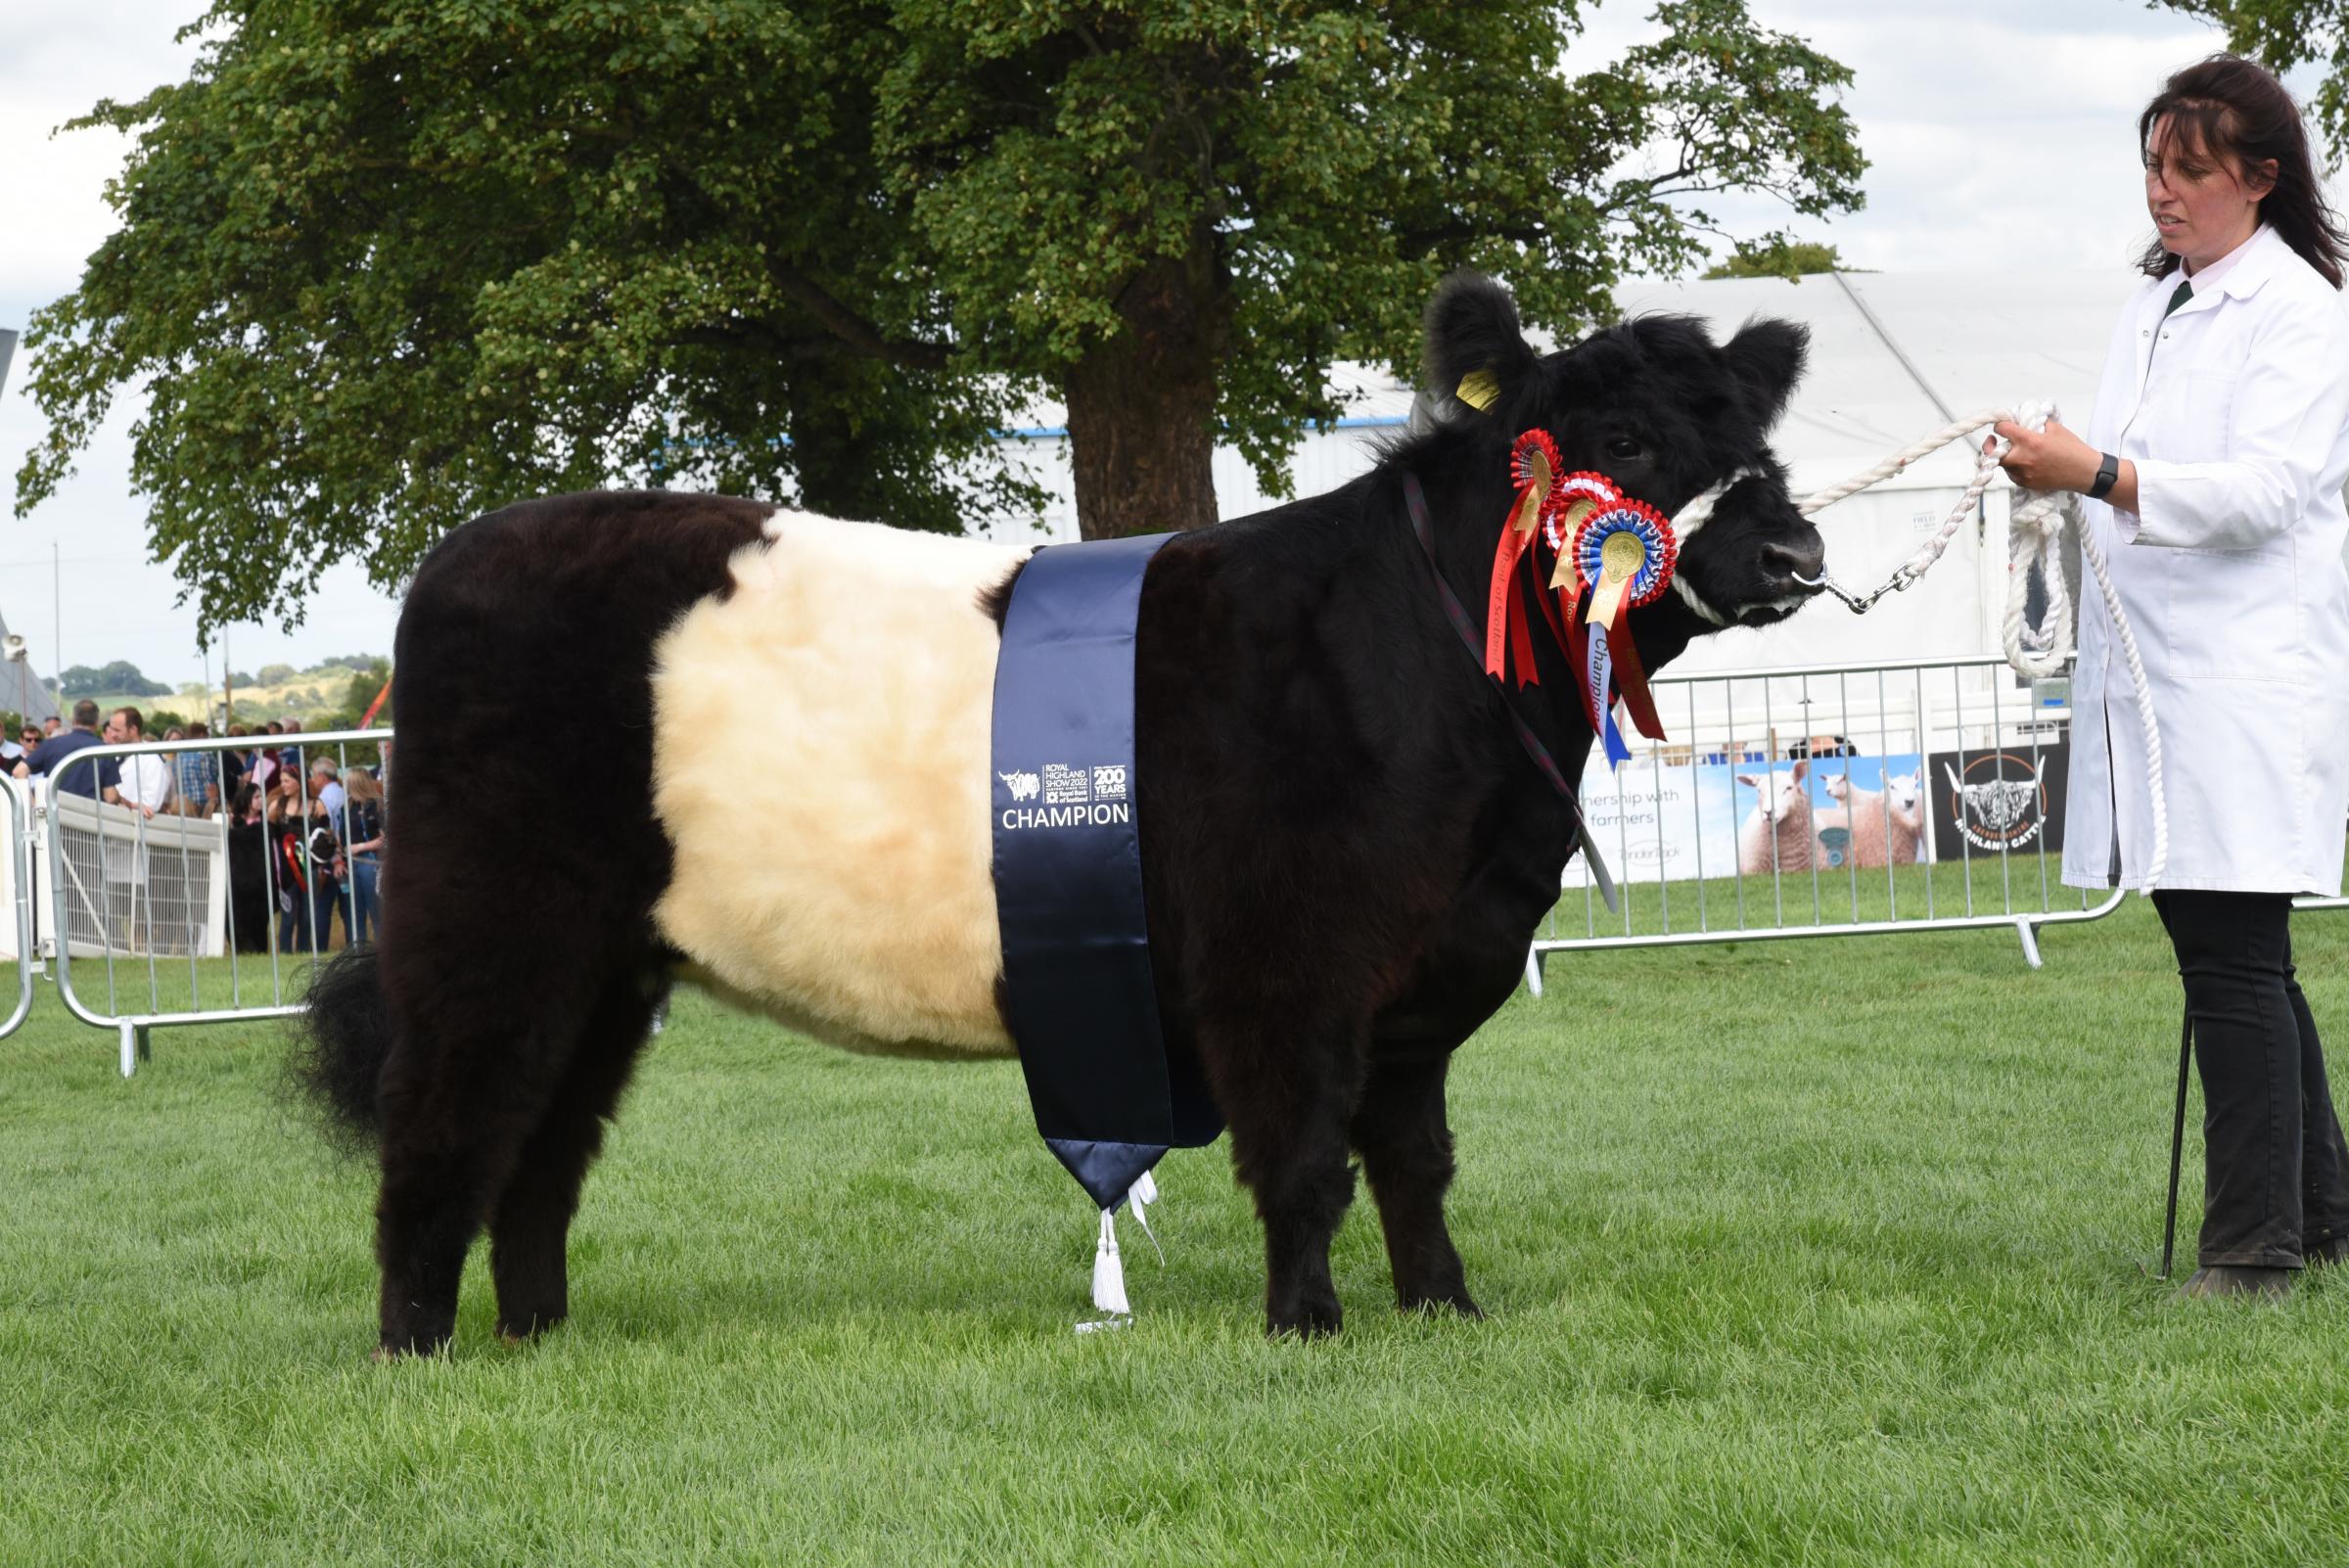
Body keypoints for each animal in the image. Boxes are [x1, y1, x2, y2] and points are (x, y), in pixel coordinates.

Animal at [302, 275, 1822, 1352]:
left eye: (1753, 434)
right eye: (1622, 438)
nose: (1791, 550)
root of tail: (470, 546)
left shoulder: (1422, 976)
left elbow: (1416, 1160)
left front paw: (1445, 1311)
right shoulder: (1286, 967)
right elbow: (1307, 1159)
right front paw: (1309, 1326)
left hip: (609, 966)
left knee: (542, 1147)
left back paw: (538, 1333)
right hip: (488, 927)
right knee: (443, 1124)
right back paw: (417, 1348)